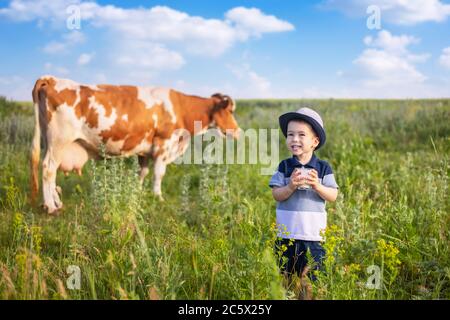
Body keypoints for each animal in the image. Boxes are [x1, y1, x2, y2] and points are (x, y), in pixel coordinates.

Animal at [29, 75, 241, 215]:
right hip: (59, 141)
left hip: (50, 142)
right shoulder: (163, 144)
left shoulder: (144, 151)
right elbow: (158, 174)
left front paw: (137, 193)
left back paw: (56, 202)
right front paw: (158, 197)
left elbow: (142, 173)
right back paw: (51, 207)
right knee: (48, 169)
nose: (238, 131)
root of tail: (51, 78)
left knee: (51, 172)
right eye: (230, 111)